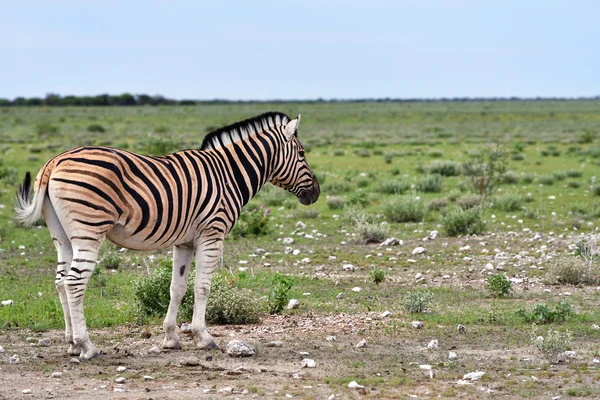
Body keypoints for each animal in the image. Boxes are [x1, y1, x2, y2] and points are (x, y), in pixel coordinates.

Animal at [14, 111, 318, 360]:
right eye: (302, 154)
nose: (316, 194)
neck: (229, 174)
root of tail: (54, 161)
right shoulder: (212, 233)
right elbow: (203, 286)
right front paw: (203, 337)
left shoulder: (184, 241)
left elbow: (177, 287)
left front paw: (171, 338)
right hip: (89, 229)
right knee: (75, 282)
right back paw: (86, 346)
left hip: (62, 236)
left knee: (60, 282)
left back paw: (71, 344)